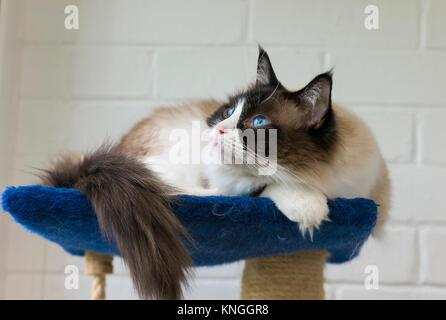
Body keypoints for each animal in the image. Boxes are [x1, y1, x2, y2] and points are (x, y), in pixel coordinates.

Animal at [41, 47, 390, 300]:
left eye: (258, 123)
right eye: (228, 112)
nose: (220, 129)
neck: (320, 178)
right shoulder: (239, 183)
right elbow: (267, 185)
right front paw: (310, 209)